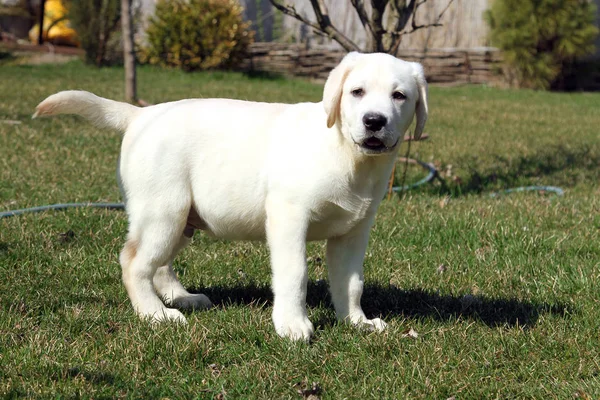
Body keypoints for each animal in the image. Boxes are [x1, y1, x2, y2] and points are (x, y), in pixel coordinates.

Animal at [34, 52, 426, 340]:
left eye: (399, 96)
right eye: (356, 92)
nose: (374, 121)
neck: (348, 155)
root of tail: (141, 114)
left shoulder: (353, 232)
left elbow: (351, 282)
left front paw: (356, 322)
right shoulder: (288, 216)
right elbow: (294, 274)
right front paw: (292, 325)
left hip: (181, 219)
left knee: (157, 265)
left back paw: (183, 298)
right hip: (163, 211)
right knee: (134, 263)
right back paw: (156, 314)